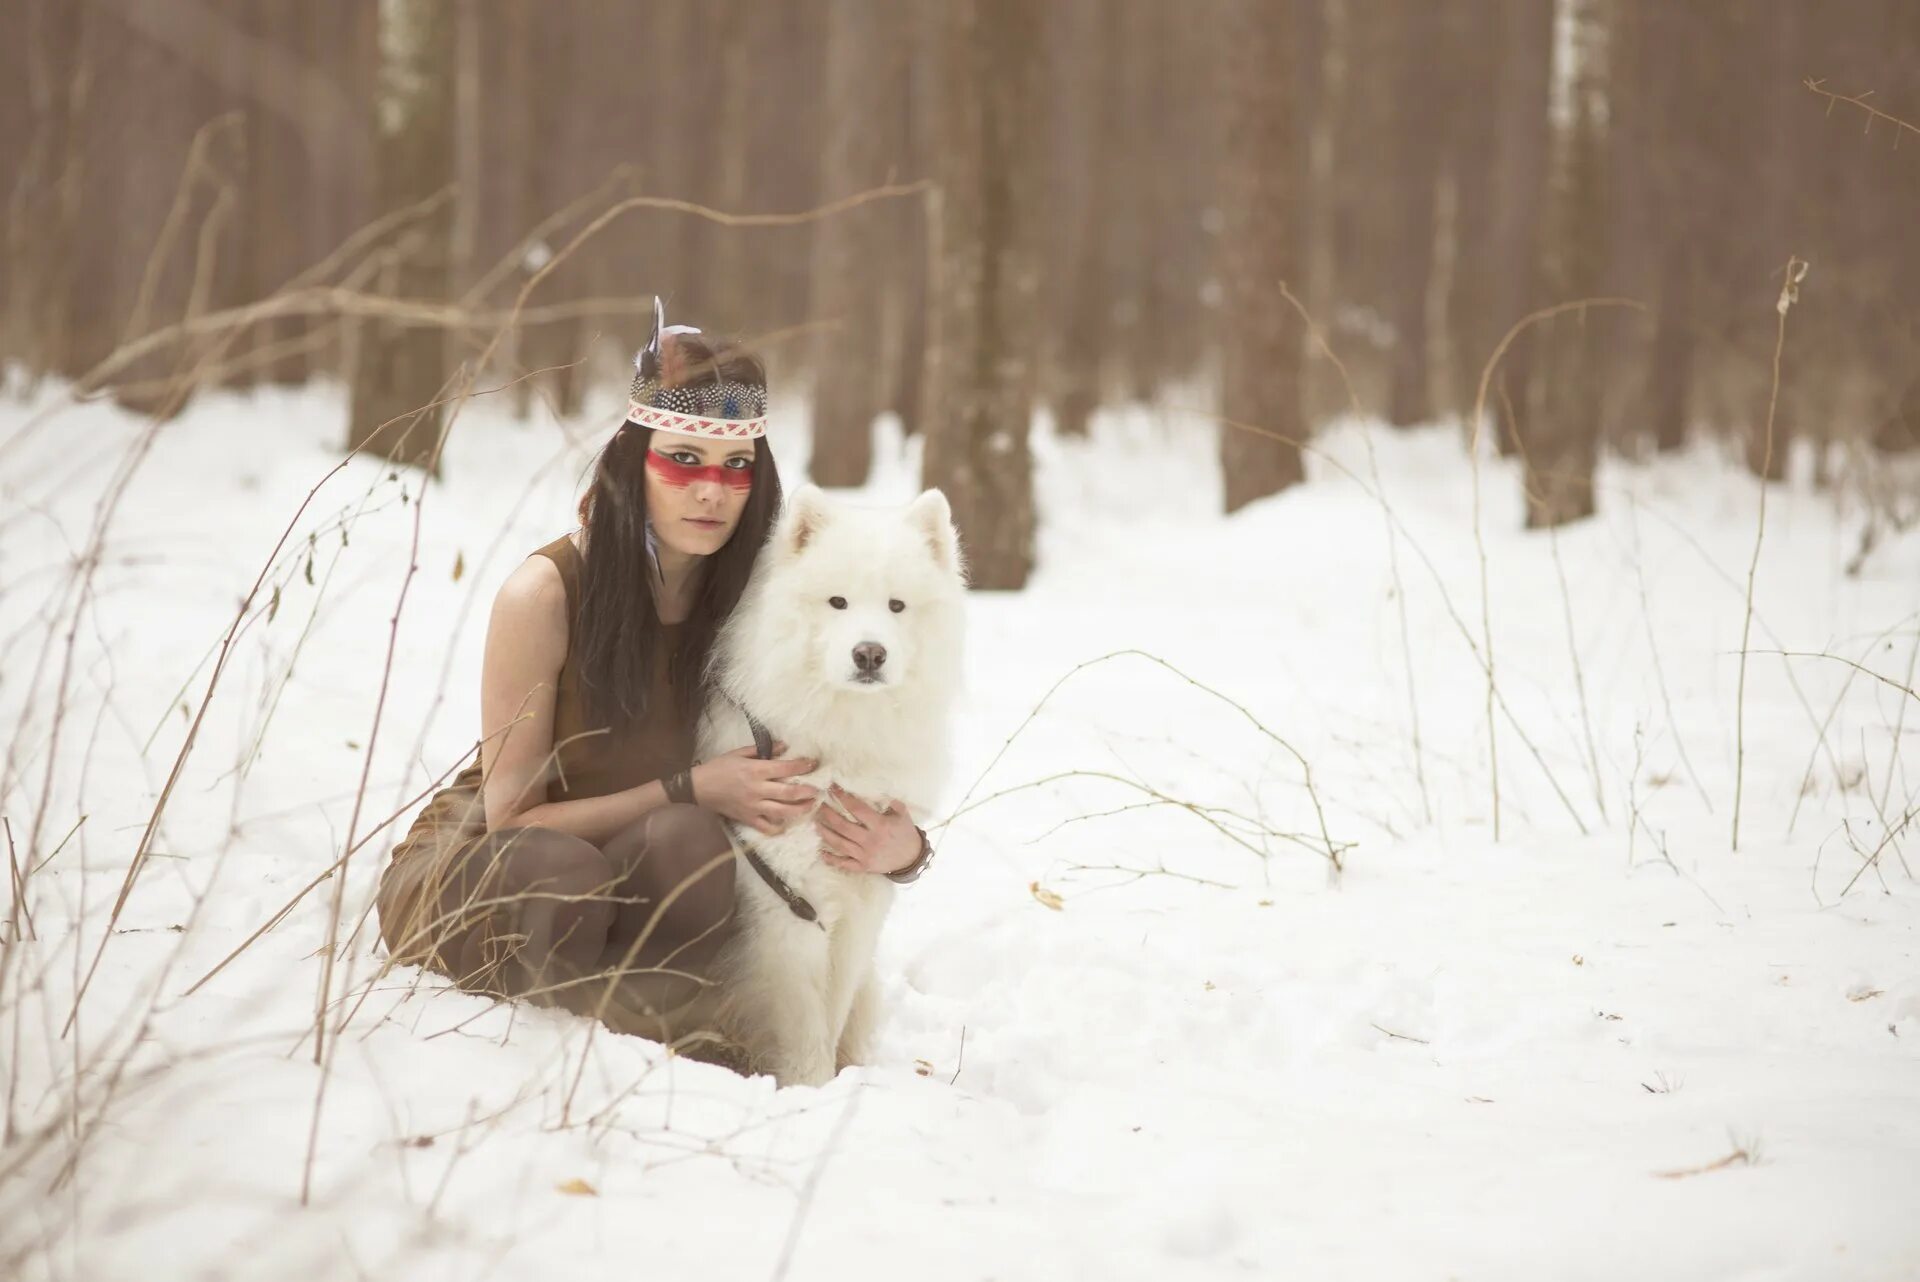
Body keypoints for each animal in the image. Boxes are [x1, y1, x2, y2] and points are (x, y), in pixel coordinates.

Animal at [695, 485, 967, 1090]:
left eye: (896, 607)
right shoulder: (785, 901)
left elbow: (832, 1007)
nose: (869, 653)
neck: (843, 737)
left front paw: (829, 1087)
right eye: (837, 602)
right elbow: (804, 1024)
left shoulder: (862, 899)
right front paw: (810, 1091)